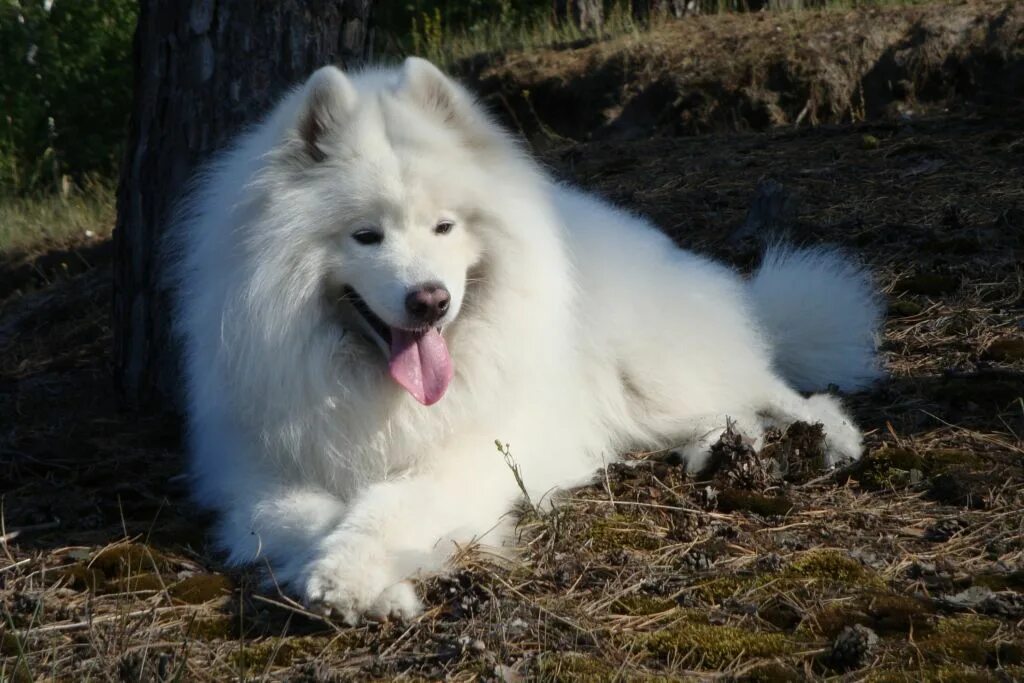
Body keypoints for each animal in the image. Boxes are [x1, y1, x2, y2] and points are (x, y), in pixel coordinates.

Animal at [167, 57, 880, 626]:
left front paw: (354, 575)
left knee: (776, 390)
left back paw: (826, 439)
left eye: (444, 227)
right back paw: (720, 452)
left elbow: (390, 503)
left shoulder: (470, 454)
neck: (378, 390)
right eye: (366, 236)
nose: (430, 300)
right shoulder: (258, 480)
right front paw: (378, 581)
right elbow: (307, 519)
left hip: (659, 372)